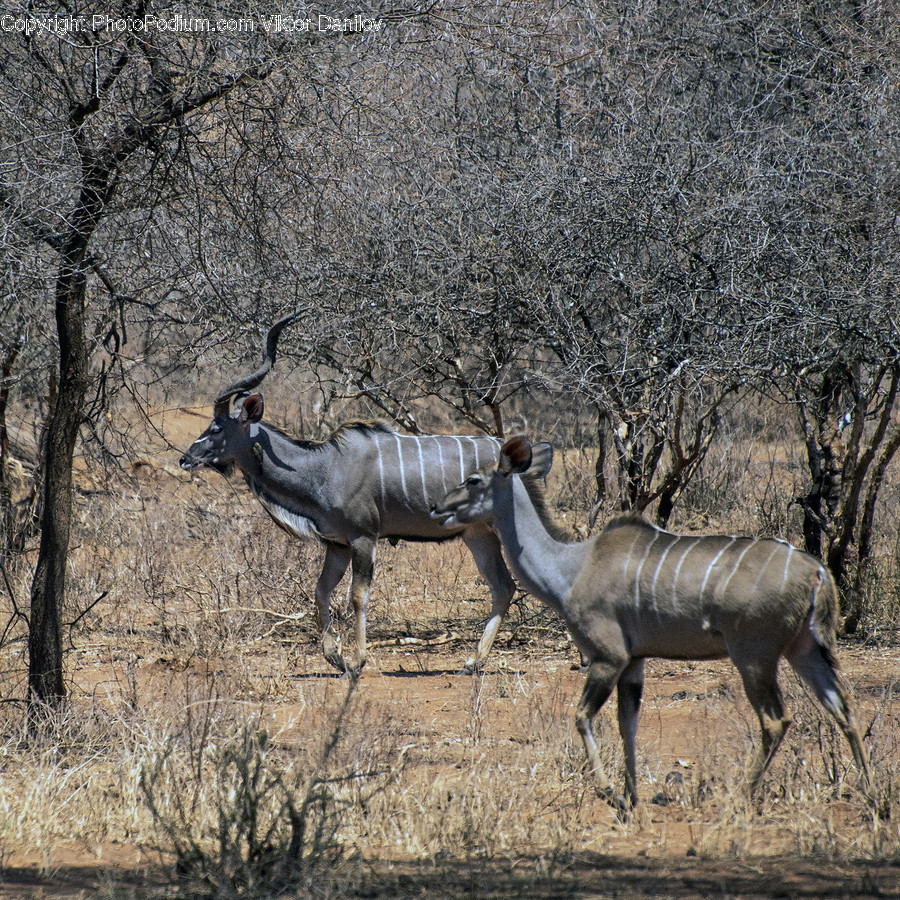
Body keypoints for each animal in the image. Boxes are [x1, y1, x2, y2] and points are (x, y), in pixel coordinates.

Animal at [179, 315, 517, 679]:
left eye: (216, 429)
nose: (185, 459)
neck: (324, 468)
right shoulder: (337, 544)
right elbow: (321, 590)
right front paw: (335, 658)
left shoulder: (363, 538)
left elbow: (357, 596)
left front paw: (357, 660)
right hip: (477, 534)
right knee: (503, 587)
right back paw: (472, 662)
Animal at [432, 436, 870, 811]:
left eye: (473, 479)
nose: (437, 508)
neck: (572, 567)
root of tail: (816, 572)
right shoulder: (634, 662)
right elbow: (628, 725)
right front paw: (631, 795)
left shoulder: (608, 656)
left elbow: (582, 717)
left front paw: (608, 790)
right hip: (804, 650)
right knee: (844, 708)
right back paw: (870, 791)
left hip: (754, 656)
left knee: (777, 719)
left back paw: (739, 796)